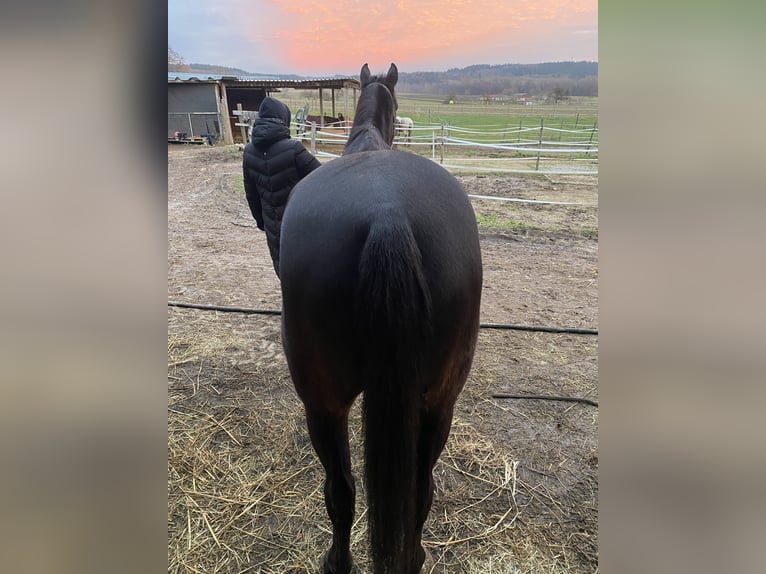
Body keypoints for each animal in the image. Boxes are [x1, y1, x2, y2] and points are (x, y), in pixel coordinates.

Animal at [280, 64, 484, 574]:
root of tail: (386, 214)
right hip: (439, 403)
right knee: (420, 491)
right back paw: (414, 557)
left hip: (323, 405)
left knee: (341, 490)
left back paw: (337, 561)